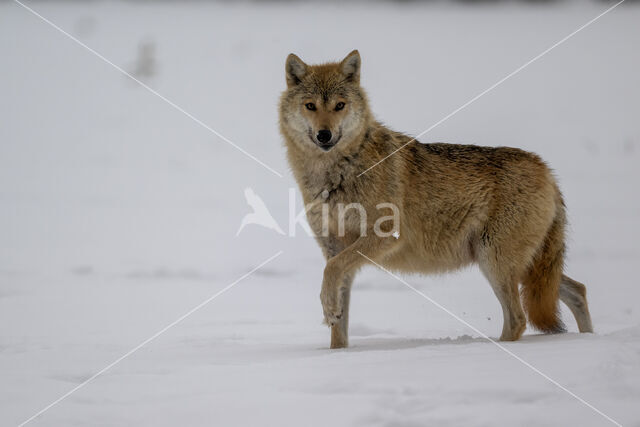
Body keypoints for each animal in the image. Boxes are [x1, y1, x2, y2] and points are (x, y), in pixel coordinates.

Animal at [280, 51, 596, 352]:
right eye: (310, 106)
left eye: (339, 105)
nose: (324, 134)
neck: (336, 173)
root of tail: (547, 170)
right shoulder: (334, 248)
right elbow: (339, 325)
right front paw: (335, 348)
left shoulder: (383, 237)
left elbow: (330, 272)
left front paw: (328, 309)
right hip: (523, 269)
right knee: (577, 290)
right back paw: (588, 339)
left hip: (495, 262)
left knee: (519, 319)